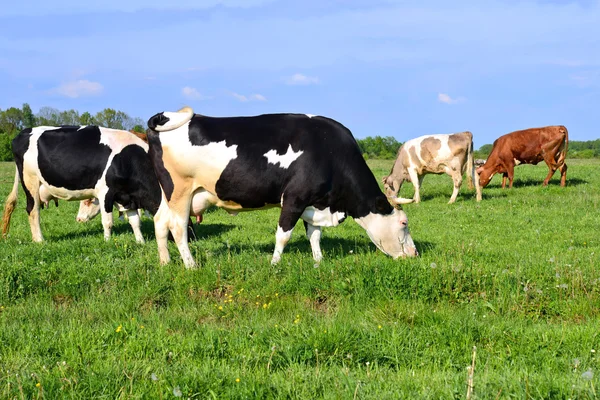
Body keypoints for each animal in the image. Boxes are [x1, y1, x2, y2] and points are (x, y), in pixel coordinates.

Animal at [0, 126, 162, 242]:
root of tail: (24, 132)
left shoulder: (127, 196)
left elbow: (135, 221)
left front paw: (140, 242)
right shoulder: (105, 193)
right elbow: (108, 221)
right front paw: (108, 241)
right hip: (30, 181)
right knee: (32, 210)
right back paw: (39, 240)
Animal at [145, 106, 418, 268]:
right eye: (404, 223)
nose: (414, 254)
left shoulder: (315, 201)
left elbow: (314, 234)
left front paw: (318, 261)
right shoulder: (295, 198)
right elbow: (283, 234)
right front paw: (275, 264)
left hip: (167, 194)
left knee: (160, 222)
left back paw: (165, 262)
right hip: (180, 191)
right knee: (178, 228)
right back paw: (191, 265)